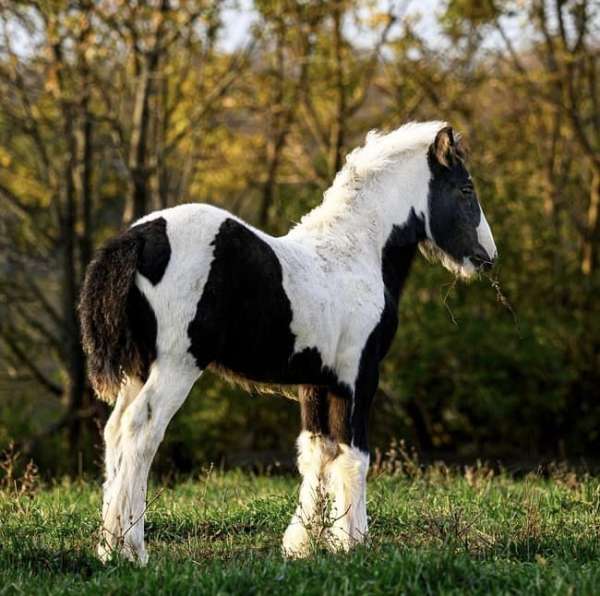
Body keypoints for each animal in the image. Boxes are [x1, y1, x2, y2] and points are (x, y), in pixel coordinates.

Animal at [82, 122, 500, 564]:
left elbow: (316, 452)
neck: (357, 253)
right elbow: (355, 455)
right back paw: (132, 549)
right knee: (140, 433)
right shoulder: (357, 377)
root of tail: (140, 237)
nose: (487, 256)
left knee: (114, 433)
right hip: (176, 368)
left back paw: (108, 547)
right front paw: (352, 541)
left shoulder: (315, 382)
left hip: (138, 370)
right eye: (466, 188)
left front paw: (304, 543)